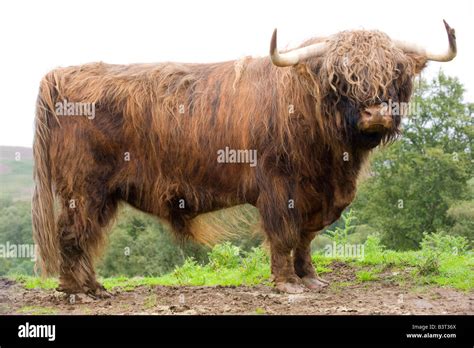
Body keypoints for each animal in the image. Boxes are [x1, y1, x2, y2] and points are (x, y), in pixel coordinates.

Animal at [32, 21, 456, 296]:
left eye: (397, 73)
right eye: (339, 77)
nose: (376, 113)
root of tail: (63, 74)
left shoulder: (318, 194)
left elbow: (306, 237)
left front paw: (311, 278)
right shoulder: (279, 185)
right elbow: (284, 233)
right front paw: (288, 284)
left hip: (101, 194)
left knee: (86, 235)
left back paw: (94, 287)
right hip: (83, 186)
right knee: (72, 233)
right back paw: (76, 291)